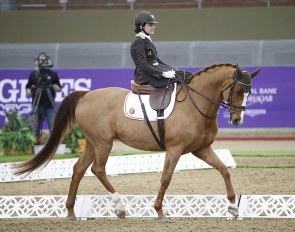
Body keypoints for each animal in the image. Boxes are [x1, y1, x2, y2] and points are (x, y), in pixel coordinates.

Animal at [15, 63, 262, 221]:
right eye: (238, 90)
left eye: (250, 92)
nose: (237, 120)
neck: (196, 104)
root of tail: (86, 95)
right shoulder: (175, 149)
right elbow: (166, 178)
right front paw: (160, 212)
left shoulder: (201, 149)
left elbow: (224, 170)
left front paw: (233, 207)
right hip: (103, 143)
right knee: (98, 169)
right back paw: (120, 207)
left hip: (93, 143)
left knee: (78, 169)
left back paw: (71, 212)